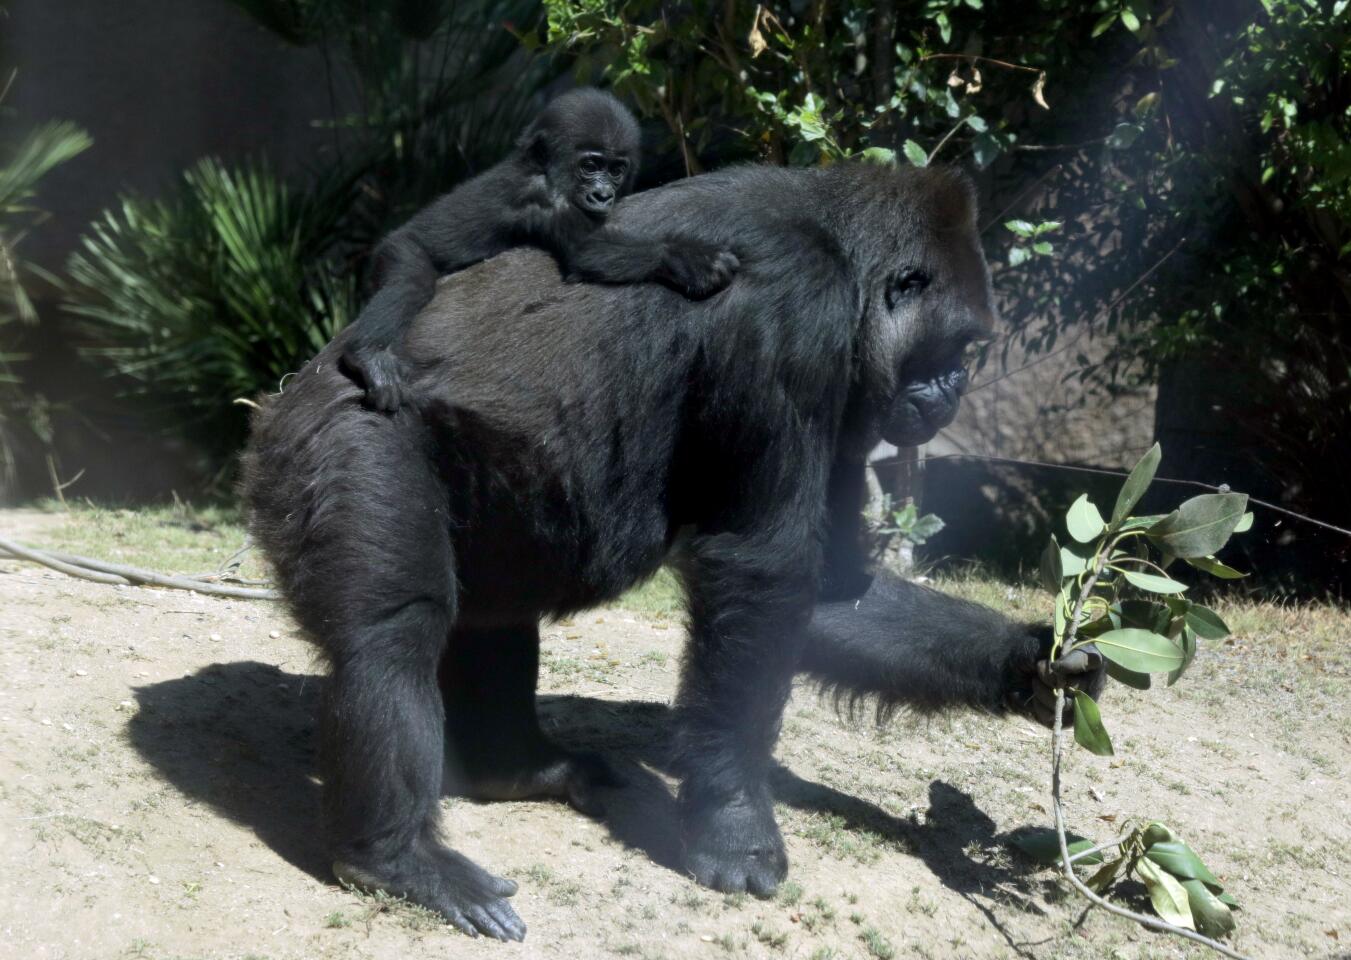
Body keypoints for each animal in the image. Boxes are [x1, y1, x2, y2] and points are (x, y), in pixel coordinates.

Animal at [248, 163, 1102, 939]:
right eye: (955, 343)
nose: (956, 386)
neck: (844, 248)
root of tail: (295, 385)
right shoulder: (796, 313)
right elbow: (764, 567)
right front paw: (735, 821)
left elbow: (830, 586)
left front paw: (1031, 661)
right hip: (341, 427)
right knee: (392, 637)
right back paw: (393, 858)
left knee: (494, 606)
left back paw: (515, 767)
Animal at [337, 86, 740, 410]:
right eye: (590, 165)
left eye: (616, 170)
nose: (603, 195)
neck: (539, 167)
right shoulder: (544, 198)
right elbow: (587, 251)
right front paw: (689, 259)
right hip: (398, 249)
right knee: (410, 283)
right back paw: (367, 355)